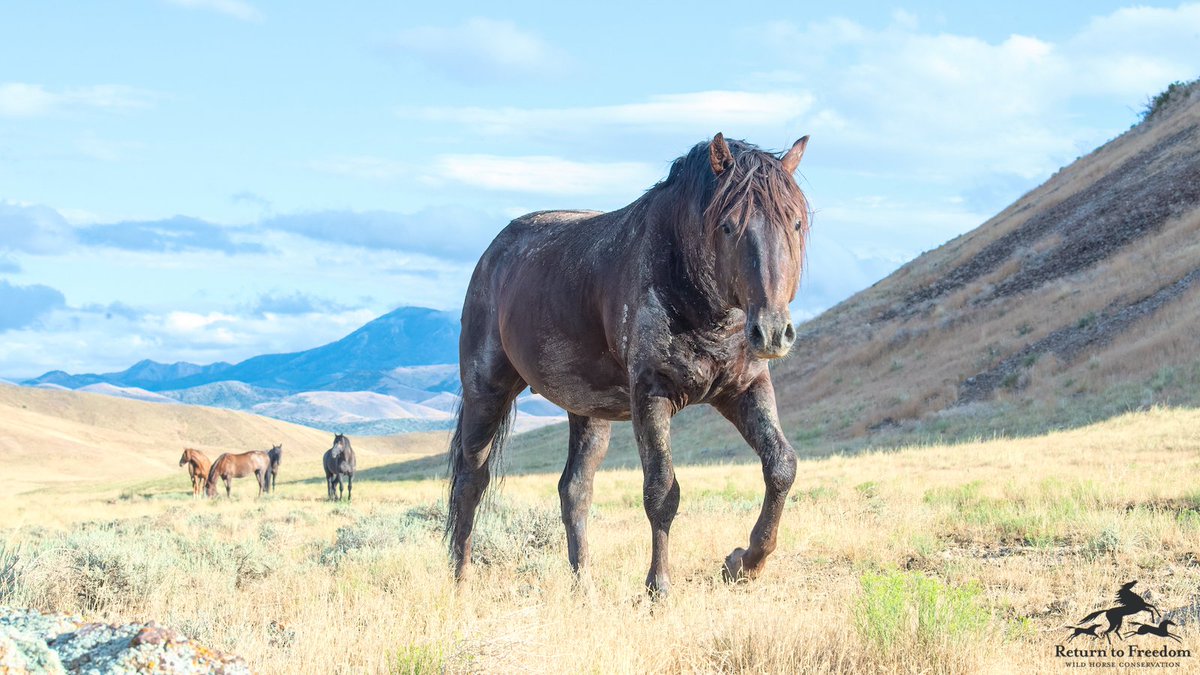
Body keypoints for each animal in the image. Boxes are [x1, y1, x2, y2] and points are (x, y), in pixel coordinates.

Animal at [446, 128, 811, 590]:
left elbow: (781, 466)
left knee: (574, 491)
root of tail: (492, 254)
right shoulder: (652, 395)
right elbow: (662, 491)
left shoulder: (745, 389)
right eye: (728, 226)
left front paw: (744, 563)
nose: (772, 332)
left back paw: (583, 586)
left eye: (794, 222)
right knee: (471, 482)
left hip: (588, 412)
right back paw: (460, 580)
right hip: (486, 392)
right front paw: (659, 586)